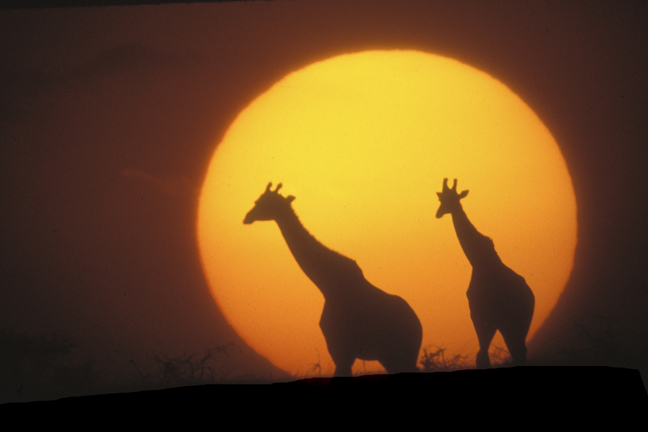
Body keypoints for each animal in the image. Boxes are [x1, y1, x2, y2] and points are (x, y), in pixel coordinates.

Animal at [246, 184, 422, 376]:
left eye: (263, 203)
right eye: (257, 200)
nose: (247, 217)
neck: (328, 285)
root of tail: (419, 327)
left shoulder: (341, 351)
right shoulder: (342, 353)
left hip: (398, 354)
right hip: (390, 357)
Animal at [436, 179, 536, 368]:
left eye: (449, 199)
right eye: (441, 198)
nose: (438, 213)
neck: (478, 261)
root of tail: (530, 296)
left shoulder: (478, 313)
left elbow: (482, 355)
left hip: (509, 322)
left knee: (516, 351)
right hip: (517, 323)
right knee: (519, 351)